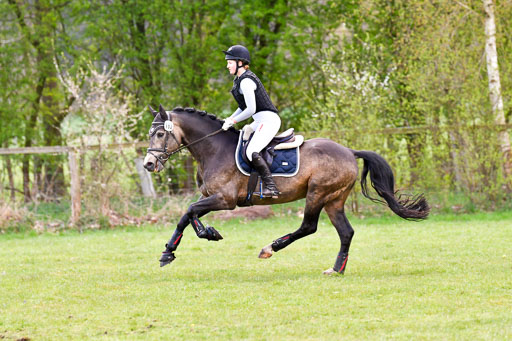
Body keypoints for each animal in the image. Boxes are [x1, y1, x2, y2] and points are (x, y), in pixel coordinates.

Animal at [144, 105, 428, 274]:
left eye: (159, 134)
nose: (148, 164)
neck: (213, 148)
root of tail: (349, 151)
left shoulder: (224, 200)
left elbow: (191, 210)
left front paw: (208, 233)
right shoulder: (210, 197)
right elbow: (186, 215)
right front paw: (168, 253)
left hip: (318, 194)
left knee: (308, 227)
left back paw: (270, 248)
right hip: (334, 200)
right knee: (346, 232)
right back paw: (336, 269)